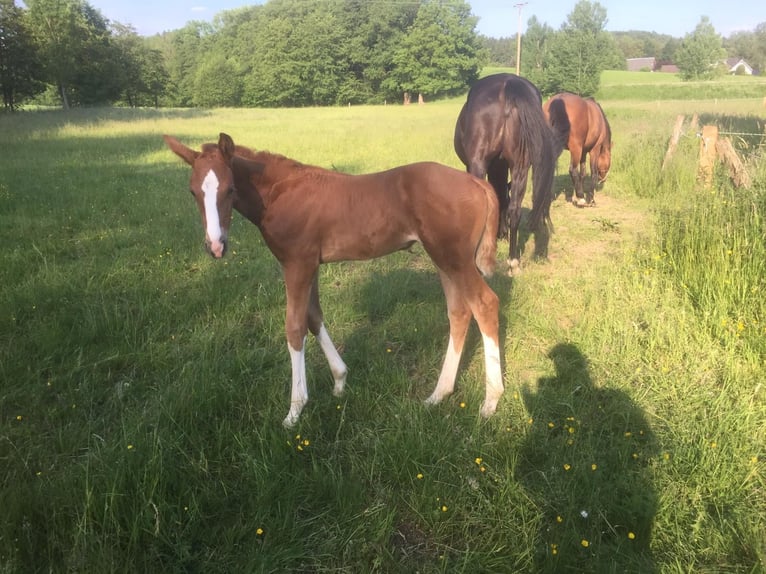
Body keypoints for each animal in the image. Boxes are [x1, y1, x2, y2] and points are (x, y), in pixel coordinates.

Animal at [164, 134, 504, 428]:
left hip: (454, 258)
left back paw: (490, 402)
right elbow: (313, 317)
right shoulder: (310, 264)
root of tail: (476, 181)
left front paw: (295, 410)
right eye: (193, 191)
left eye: (230, 189)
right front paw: (340, 381)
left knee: (485, 304)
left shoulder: (296, 263)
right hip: (443, 258)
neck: (280, 193)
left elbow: (295, 327)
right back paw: (438, 394)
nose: (215, 246)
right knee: (459, 312)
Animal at [456, 73, 560, 272]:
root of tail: (508, 84)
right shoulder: (501, 168)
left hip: (479, 164)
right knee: (514, 209)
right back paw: (513, 261)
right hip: (520, 166)